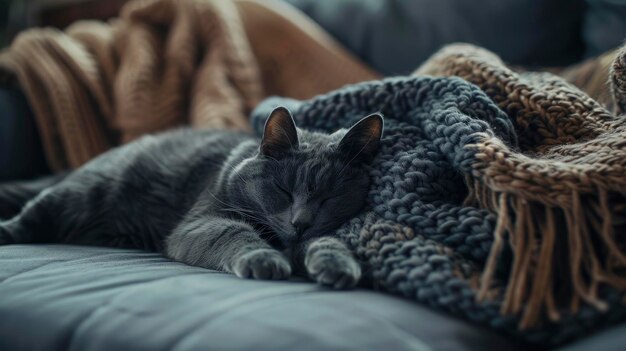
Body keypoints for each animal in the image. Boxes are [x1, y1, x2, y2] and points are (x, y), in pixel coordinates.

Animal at [0, 107, 380, 288]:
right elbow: (234, 231)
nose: (300, 222)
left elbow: (327, 240)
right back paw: (5, 231)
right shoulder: (201, 221)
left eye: (329, 197)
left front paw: (337, 265)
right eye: (283, 190)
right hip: (81, 193)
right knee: (31, 215)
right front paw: (264, 259)